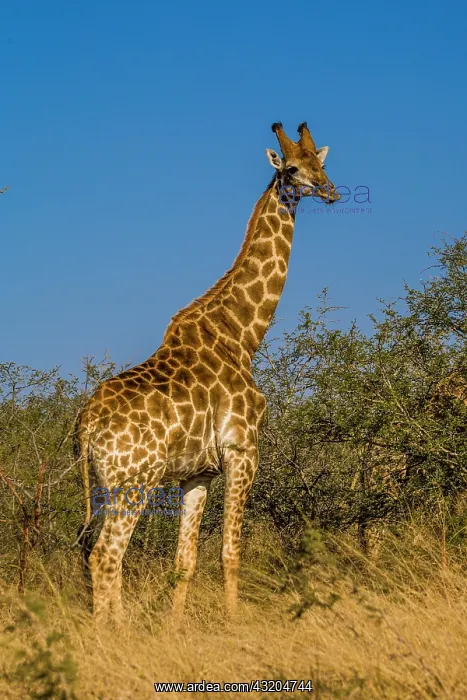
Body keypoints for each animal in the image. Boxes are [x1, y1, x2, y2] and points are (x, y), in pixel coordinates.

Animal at [75, 121, 340, 621]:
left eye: (321, 162)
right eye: (292, 169)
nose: (331, 191)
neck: (243, 333)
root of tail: (86, 425)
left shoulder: (197, 473)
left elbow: (186, 560)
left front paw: (175, 628)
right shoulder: (243, 450)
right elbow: (230, 551)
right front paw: (236, 624)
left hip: (106, 485)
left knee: (95, 554)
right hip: (135, 481)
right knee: (106, 555)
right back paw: (112, 633)